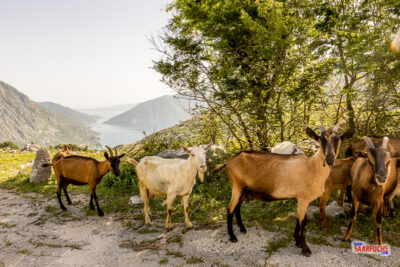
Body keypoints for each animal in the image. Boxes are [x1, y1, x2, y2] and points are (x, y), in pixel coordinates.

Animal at [216, 125, 354, 258]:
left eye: (338, 139)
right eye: (321, 139)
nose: (330, 158)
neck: (311, 168)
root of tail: (228, 162)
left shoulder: (301, 199)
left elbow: (299, 219)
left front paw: (297, 242)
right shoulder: (303, 198)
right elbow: (303, 222)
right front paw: (305, 249)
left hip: (243, 189)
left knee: (237, 207)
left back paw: (242, 228)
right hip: (237, 186)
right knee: (230, 208)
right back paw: (233, 236)